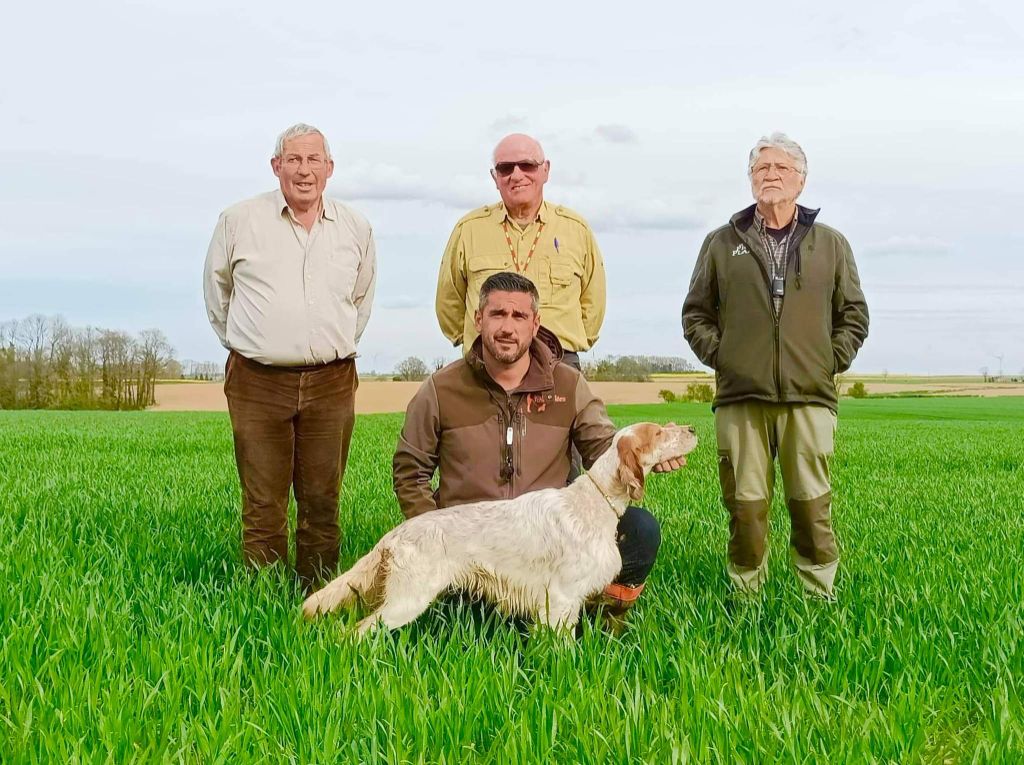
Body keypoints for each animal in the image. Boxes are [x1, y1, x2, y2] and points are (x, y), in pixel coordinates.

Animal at [299, 421, 692, 639]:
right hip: (406, 600)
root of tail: (396, 535)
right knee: (354, 632)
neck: (594, 501)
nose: (691, 429)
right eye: (659, 432)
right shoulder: (562, 599)